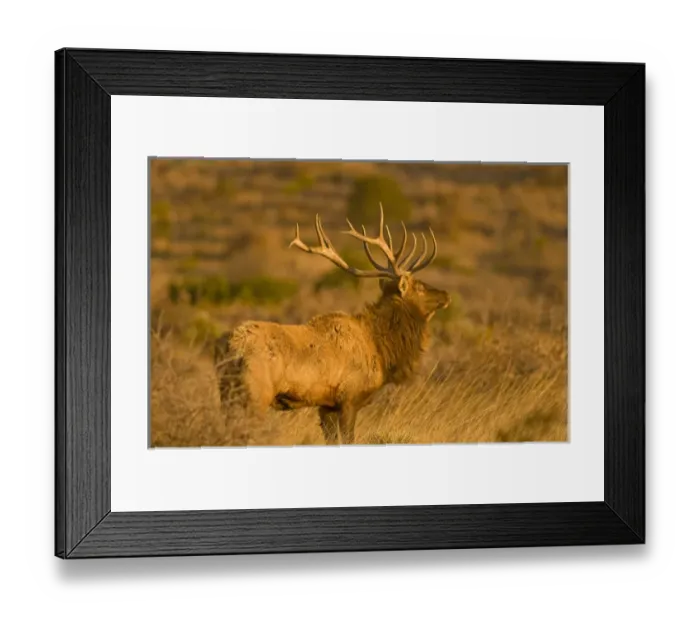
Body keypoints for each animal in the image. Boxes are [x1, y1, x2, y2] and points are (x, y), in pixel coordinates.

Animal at [214, 203, 451, 445]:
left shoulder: (326, 405)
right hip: (256, 394)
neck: (380, 348)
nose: (446, 294)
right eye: (419, 287)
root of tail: (232, 349)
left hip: (228, 395)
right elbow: (348, 439)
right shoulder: (349, 398)